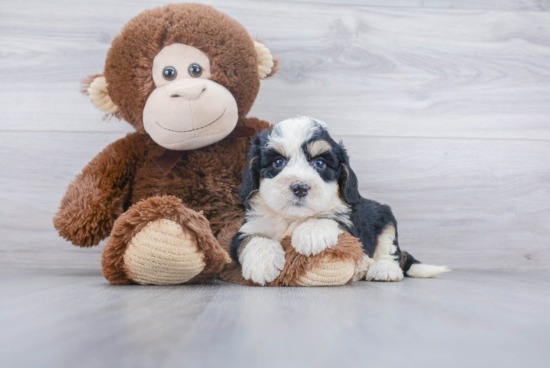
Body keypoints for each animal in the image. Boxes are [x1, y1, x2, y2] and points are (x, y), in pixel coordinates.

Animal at [231, 116, 450, 286]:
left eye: (320, 164)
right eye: (278, 162)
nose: (300, 187)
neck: (294, 218)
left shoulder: (352, 227)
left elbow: (332, 219)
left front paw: (311, 234)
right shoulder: (248, 227)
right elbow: (254, 239)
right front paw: (262, 264)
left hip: (385, 217)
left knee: (389, 251)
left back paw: (383, 269)